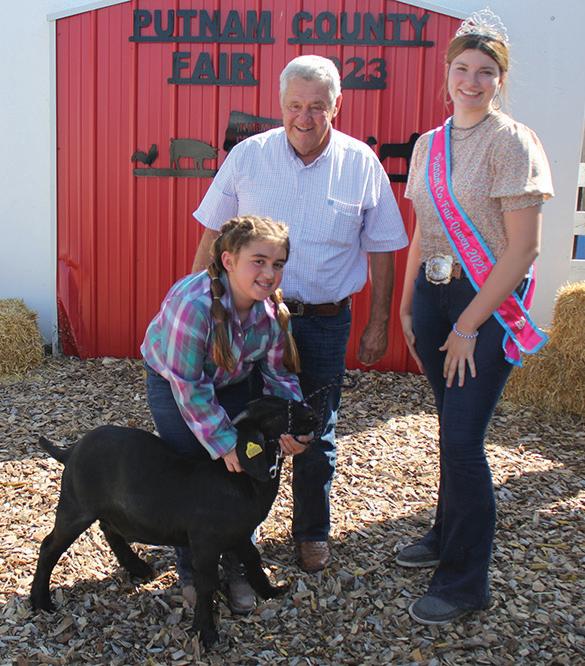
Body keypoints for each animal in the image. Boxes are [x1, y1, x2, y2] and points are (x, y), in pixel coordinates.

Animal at [30, 396, 318, 648]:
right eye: (277, 413)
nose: (313, 416)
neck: (237, 479)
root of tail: (70, 451)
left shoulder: (238, 534)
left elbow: (253, 559)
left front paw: (271, 591)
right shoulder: (205, 542)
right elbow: (207, 584)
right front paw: (206, 632)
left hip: (109, 508)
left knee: (109, 529)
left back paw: (137, 567)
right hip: (75, 506)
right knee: (49, 547)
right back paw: (40, 601)